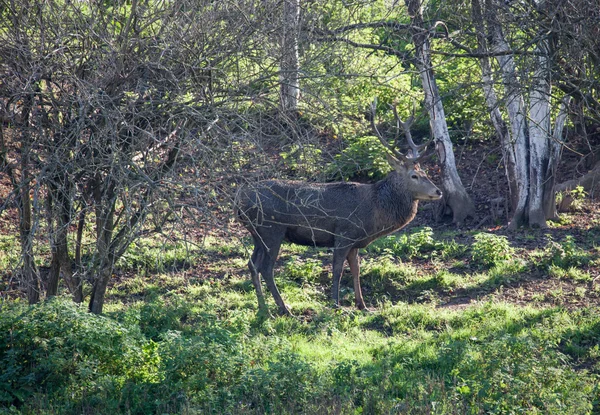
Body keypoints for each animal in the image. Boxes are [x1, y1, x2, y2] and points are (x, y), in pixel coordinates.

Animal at [237, 101, 442, 318]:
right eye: (414, 176)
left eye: (425, 172)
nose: (438, 191)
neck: (374, 212)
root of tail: (239, 202)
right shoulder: (343, 234)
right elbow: (337, 270)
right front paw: (335, 304)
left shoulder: (355, 242)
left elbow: (356, 270)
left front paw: (363, 305)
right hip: (272, 229)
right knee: (266, 268)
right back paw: (283, 308)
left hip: (257, 234)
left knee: (252, 264)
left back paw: (263, 308)